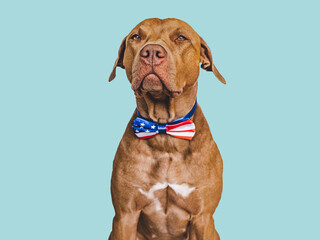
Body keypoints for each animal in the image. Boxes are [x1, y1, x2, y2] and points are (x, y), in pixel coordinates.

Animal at [107, 17, 225, 239]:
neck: (165, 132)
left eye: (181, 38)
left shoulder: (202, 217)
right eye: (136, 36)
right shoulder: (125, 215)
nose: (151, 51)